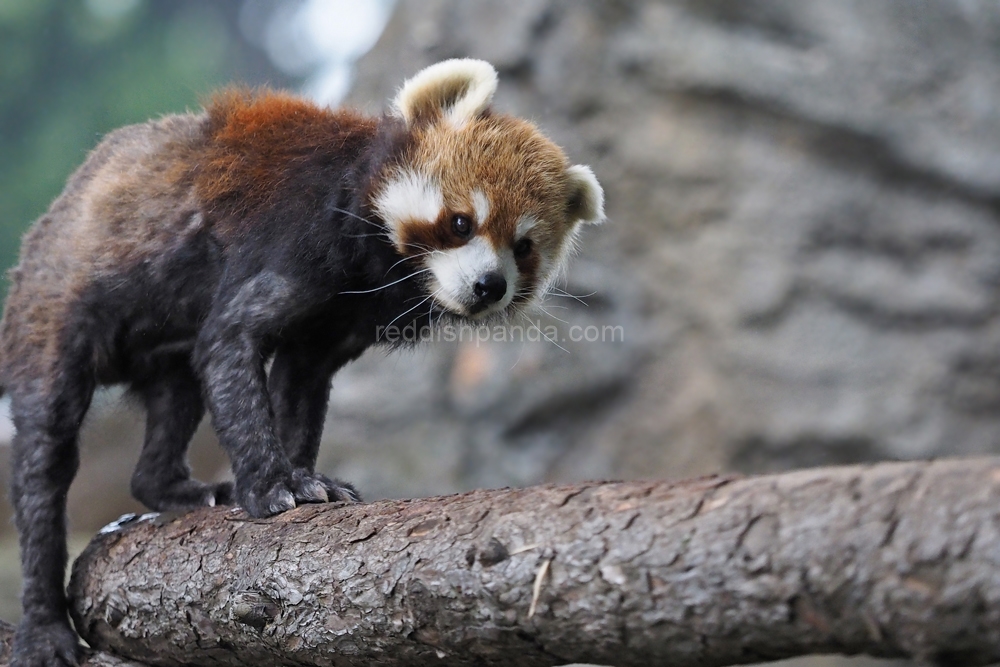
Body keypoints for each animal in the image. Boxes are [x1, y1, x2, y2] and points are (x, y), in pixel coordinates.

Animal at [0, 58, 600, 664]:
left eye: (523, 247)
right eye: (461, 223)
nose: (489, 286)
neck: (374, 263)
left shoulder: (335, 325)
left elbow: (298, 386)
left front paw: (307, 476)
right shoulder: (295, 237)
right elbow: (229, 342)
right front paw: (274, 487)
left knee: (178, 397)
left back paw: (175, 489)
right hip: (52, 314)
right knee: (47, 453)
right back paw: (44, 623)